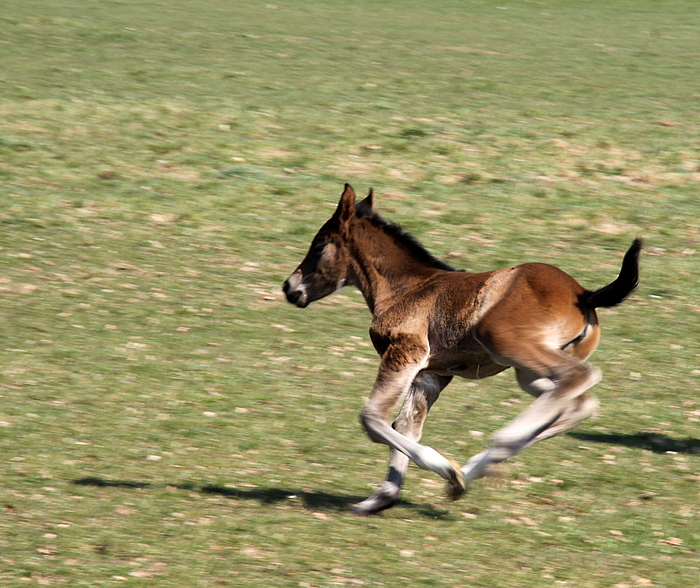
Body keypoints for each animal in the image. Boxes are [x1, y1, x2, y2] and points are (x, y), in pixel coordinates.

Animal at [282, 184, 644, 516]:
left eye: (319, 244)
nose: (290, 287)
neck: (408, 288)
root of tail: (584, 294)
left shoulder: (404, 352)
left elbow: (373, 418)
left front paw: (447, 471)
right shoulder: (431, 374)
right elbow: (405, 426)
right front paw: (381, 499)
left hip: (504, 341)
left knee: (578, 379)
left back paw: (497, 444)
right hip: (527, 370)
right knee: (576, 400)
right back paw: (478, 467)